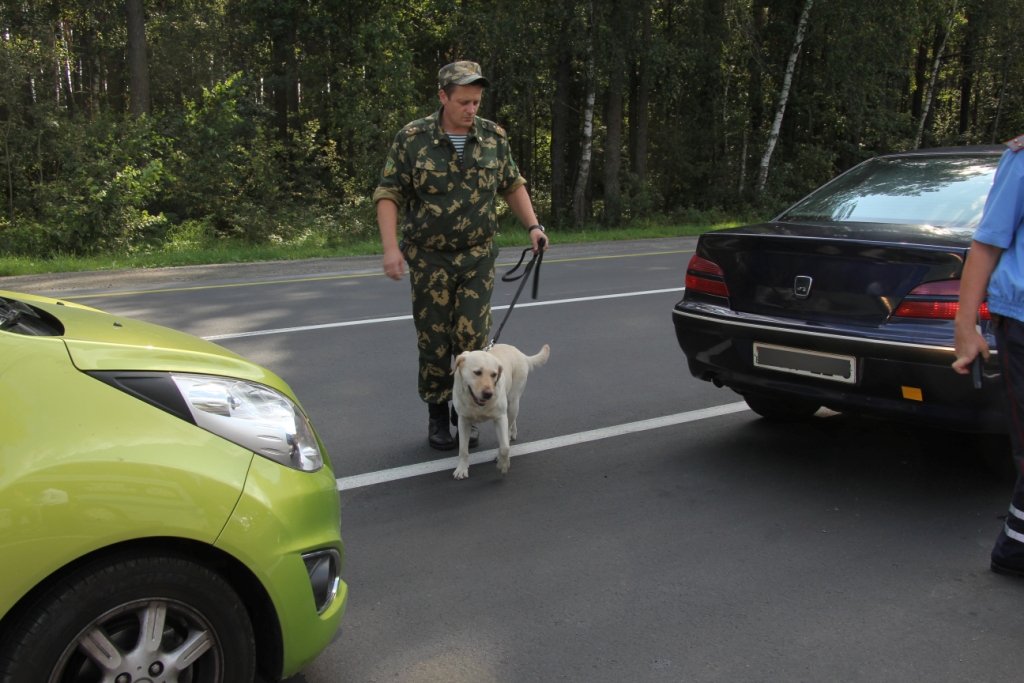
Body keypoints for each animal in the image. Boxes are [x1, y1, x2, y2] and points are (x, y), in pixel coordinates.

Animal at [450, 342, 548, 481]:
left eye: (494, 374)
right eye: (477, 372)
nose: (488, 393)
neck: (477, 404)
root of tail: (521, 353)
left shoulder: (500, 417)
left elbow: (505, 447)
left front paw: (503, 464)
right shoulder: (463, 421)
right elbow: (463, 449)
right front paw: (461, 469)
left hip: (513, 401)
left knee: (509, 426)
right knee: (512, 422)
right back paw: (513, 432)